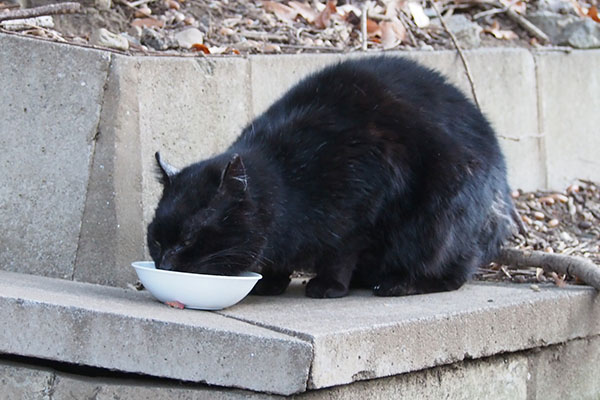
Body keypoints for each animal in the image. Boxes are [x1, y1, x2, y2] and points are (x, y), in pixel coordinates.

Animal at [148, 57, 512, 300]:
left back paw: (399, 283)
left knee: (454, 271)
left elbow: (340, 252)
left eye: (188, 239)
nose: (164, 264)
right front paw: (271, 280)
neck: (289, 179)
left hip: (441, 215)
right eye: (155, 239)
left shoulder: (364, 208)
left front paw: (329, 285)